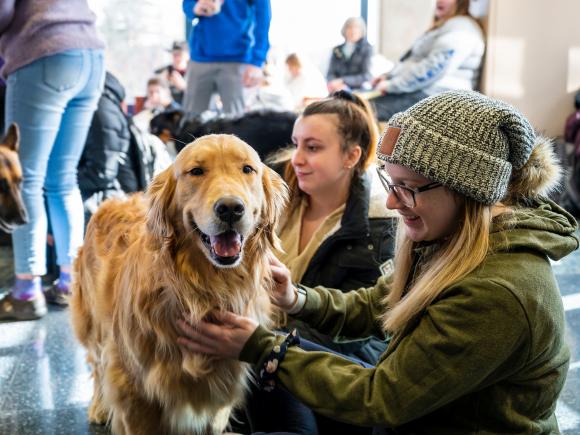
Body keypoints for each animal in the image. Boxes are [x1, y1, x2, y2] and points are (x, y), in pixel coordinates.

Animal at [70, 135, 288, 434]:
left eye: (247, 169)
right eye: (196, 171)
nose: (230, 208)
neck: (202, 289)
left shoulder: (216, 400)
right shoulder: (135, 395)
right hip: (93, 325)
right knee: (97, 364)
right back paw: (99, 408)